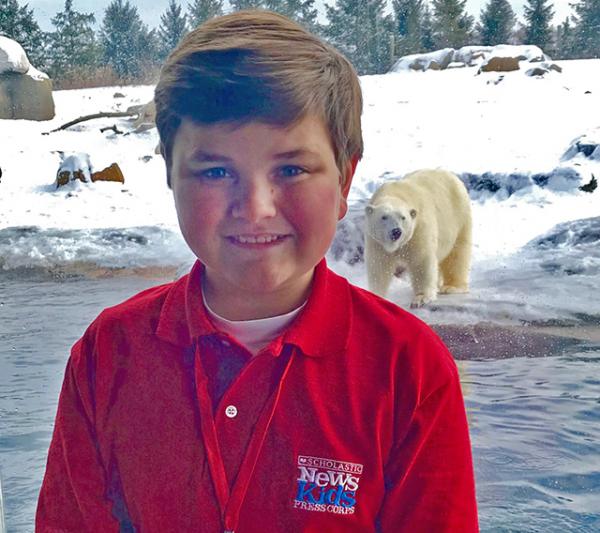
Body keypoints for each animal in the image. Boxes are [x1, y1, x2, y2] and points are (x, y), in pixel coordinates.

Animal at [364, 168, 472, 306]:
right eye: (384, 217)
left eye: (403, 217)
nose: (396, 231)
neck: (396, 193)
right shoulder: (376, 241)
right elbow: (379, 265)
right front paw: (376, 294)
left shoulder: (418, 229)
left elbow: (421, 261)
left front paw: (421, 298)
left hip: (459, 217)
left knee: (457, 254)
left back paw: (451, 287)